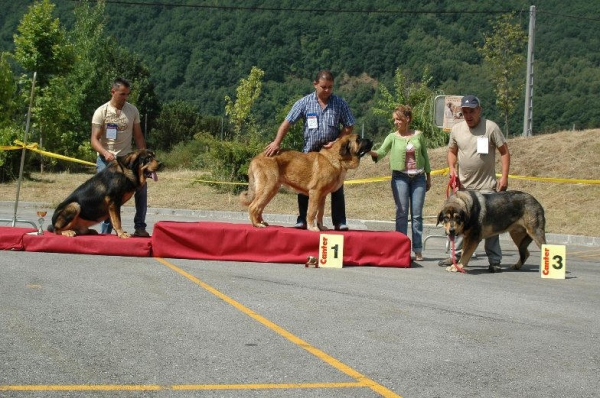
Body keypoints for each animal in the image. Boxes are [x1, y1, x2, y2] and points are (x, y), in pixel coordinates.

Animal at [238, 134, 370, 230]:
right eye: (358, 139)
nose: (370, 140)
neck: (337, 158)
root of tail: (255, 158)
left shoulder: (322, 196)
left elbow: (320, 213)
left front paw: (321, 227)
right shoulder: (315, 193)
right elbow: (312, 212)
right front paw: (312, 228)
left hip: (271, 190)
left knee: (259, 207)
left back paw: (262, 222)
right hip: (268, 187)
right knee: (253, 206)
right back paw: (257, 225)